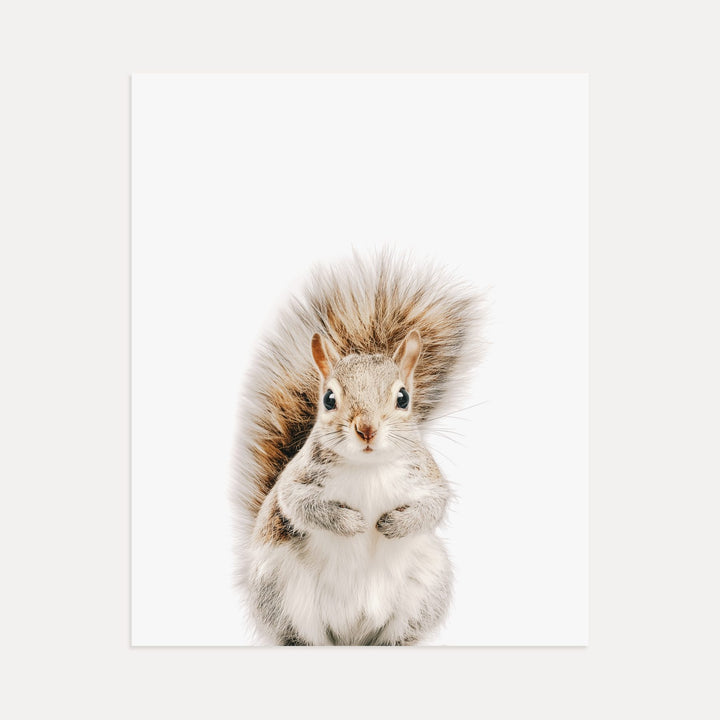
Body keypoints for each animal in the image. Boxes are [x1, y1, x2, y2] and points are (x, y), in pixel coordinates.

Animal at [232, 250, 484, 645]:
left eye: (403, 397)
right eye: (329, 399)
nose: (366, 428)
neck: (368, 468)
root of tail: (352, 635)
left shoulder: (427, 477)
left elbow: (433, 505)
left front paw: (392, 524)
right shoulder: (297, 481)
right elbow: (299, 504)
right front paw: (352, 522)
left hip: (425, 588)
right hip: (280, 591)